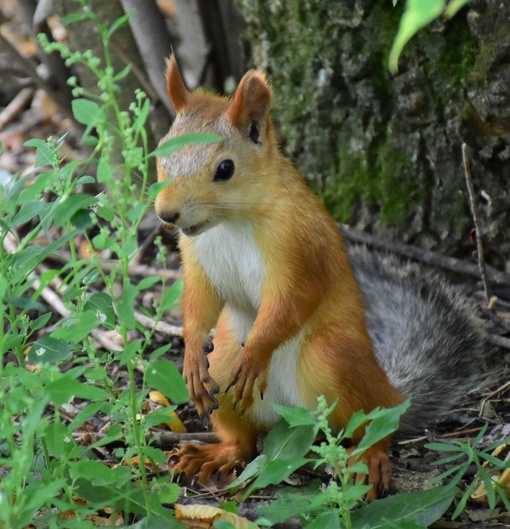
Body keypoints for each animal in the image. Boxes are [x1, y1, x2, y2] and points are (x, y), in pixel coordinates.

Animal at [154, 57, 490, 500]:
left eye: (225, 168)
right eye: (159, 155)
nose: (165, 214)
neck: (232, 221)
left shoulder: (300, 248)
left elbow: (293, 299)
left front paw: (256, 352)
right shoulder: (198, 261)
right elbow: (198, 302)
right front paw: (192, 355)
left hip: (332, 359)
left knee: (375, 424)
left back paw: (370, 459)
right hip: (224, 370)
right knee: (244, 442)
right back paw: (214, 454)